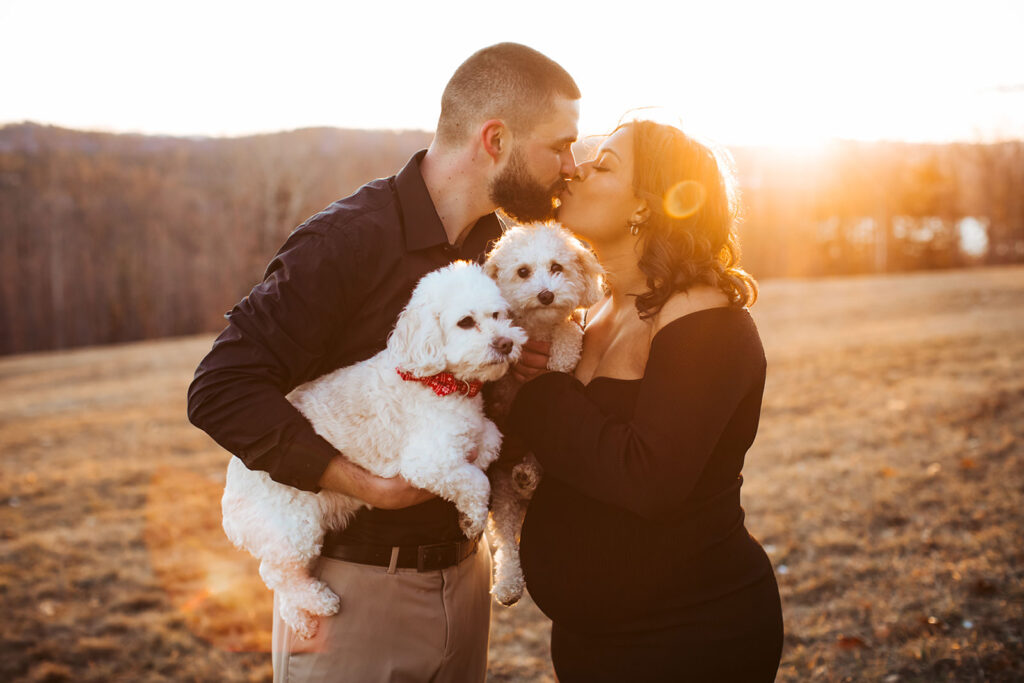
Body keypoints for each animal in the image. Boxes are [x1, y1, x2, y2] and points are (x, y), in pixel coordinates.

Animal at [222, 262, 528, 643]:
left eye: (497, 314)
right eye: (465, 322)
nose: (506, 343)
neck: (440, 383)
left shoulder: (474, 432)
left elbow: (489, 440)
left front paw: (466, 512)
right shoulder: (427, 463)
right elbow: (475, 480)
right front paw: (472, 518)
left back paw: (302, 620)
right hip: (295, 528)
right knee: (275, 574)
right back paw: (320, 603)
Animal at [483, 222, 602, 606]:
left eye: (557, 267)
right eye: (522, 272)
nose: (547, 295)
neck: (538, 329)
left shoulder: (572, 325)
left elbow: (569, 331)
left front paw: (561, 355)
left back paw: (527, 474)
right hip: (502, 496)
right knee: (507, 543)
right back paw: (508, 583)